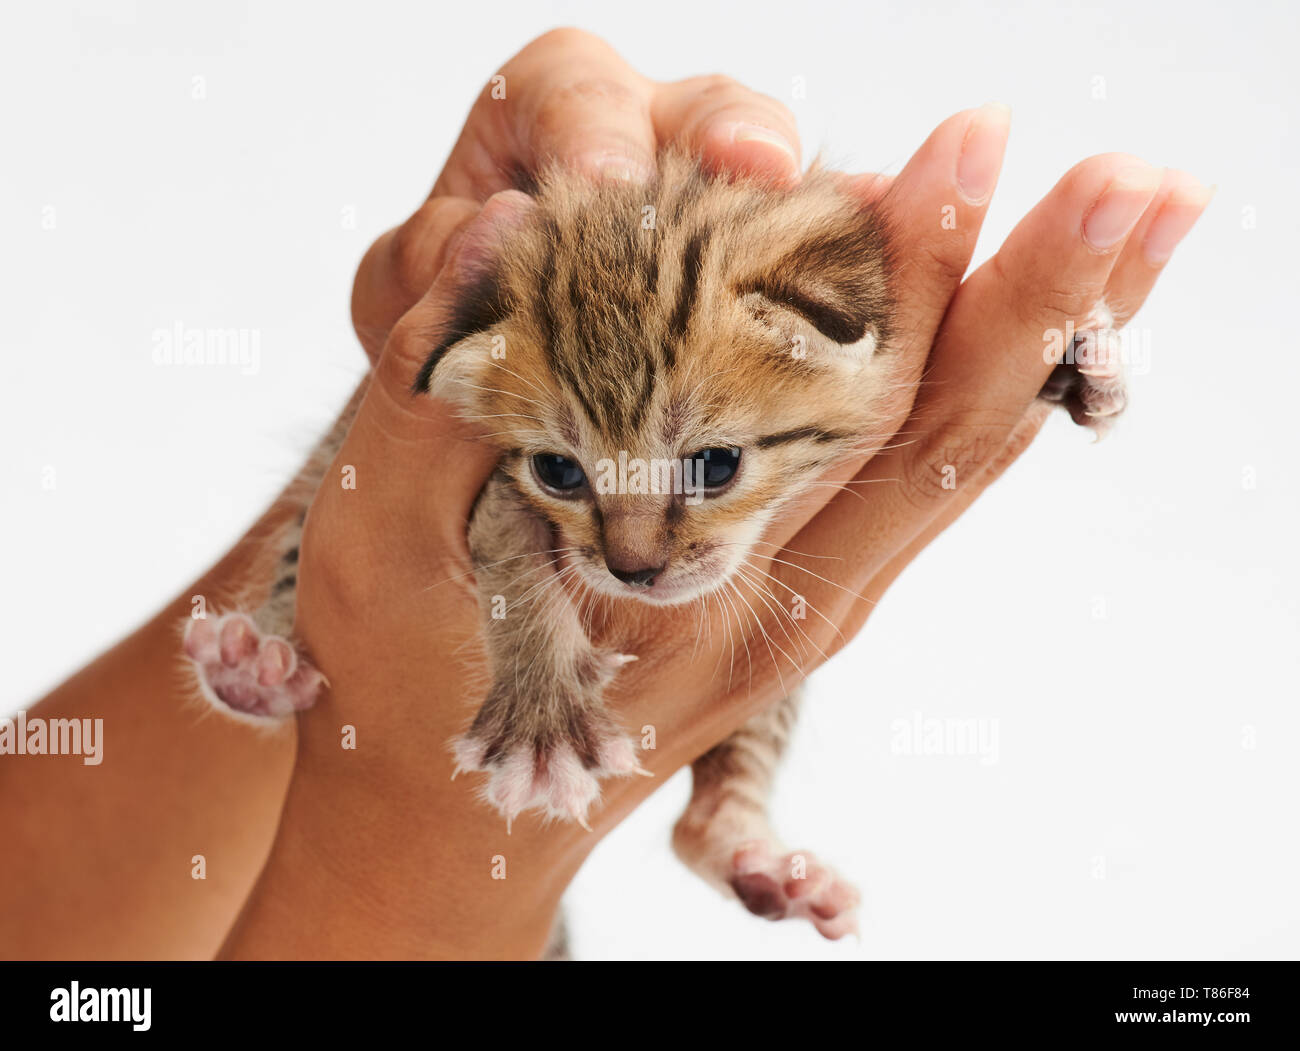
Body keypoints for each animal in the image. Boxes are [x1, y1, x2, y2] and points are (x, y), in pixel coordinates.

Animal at [183, 149, 1128, 941]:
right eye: (560, 471)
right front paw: (542, 722)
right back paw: (250, 667)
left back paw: (749, 853)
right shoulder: (487, 480)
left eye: (715, 465)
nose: (633, 569)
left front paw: (1078, 352)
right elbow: (514, 553)